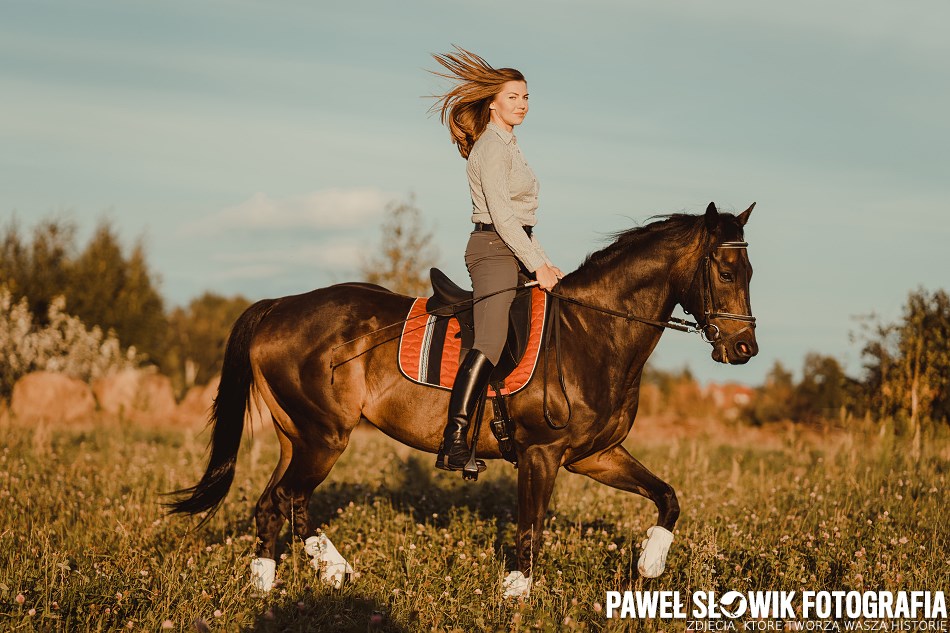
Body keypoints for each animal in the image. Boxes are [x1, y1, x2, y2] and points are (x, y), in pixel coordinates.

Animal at [171, 201, 760, 592]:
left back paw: (269, 587)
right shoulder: (541, 454)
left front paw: (649, 565)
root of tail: (277, 305)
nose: (744, 348)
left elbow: (668, 497)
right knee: (288, 502)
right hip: (323, 437)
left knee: (273, 505)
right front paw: (517, 596)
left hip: (297, 437)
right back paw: (333, 571)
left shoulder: (595, 456)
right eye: (727, 270)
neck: (593, 332)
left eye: (750, 271)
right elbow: (530, 530)